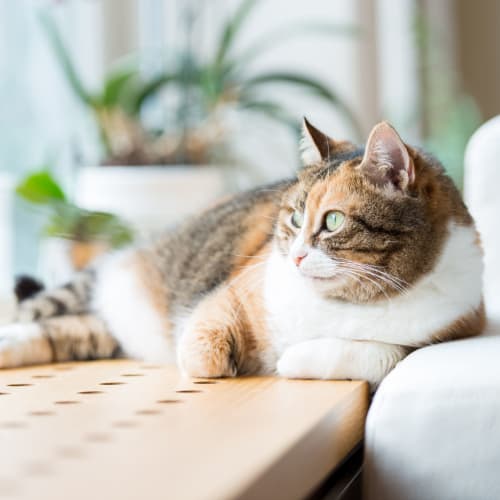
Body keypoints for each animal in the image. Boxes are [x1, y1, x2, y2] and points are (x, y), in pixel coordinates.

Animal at [0, 120, 484, 386]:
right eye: (294, 217)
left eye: (333, 221)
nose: (297, 257)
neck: (341, 303)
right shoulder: (233, 291)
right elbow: (202, 348)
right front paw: (228, 359)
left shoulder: (453, 326)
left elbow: (383, 354)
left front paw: (290, 360)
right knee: (40, 312)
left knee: (68, 330)